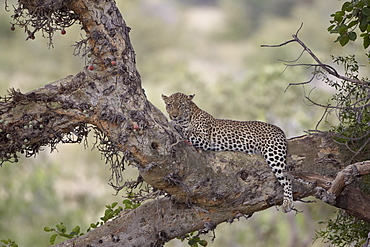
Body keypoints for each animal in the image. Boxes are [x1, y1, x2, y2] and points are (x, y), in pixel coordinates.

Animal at [162, 92, 294, 212]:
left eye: (181, 105)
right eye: (169, 105)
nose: (174, 115)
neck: (187, 119)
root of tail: (279, 129)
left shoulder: (204, 139)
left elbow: (188, 132)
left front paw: (176, 125)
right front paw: (174, 123)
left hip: (273, 153)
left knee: (287, 178)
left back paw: (287, 203)